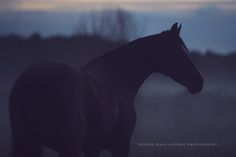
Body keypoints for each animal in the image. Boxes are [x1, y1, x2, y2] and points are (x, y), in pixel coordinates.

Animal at [8, 23, 203, 157]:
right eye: (180, 52)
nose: (199, 82)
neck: (117, 81)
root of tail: (31, 78)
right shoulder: (120, 145)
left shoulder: (92, 148)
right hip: (68, 146)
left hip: (27, 141)